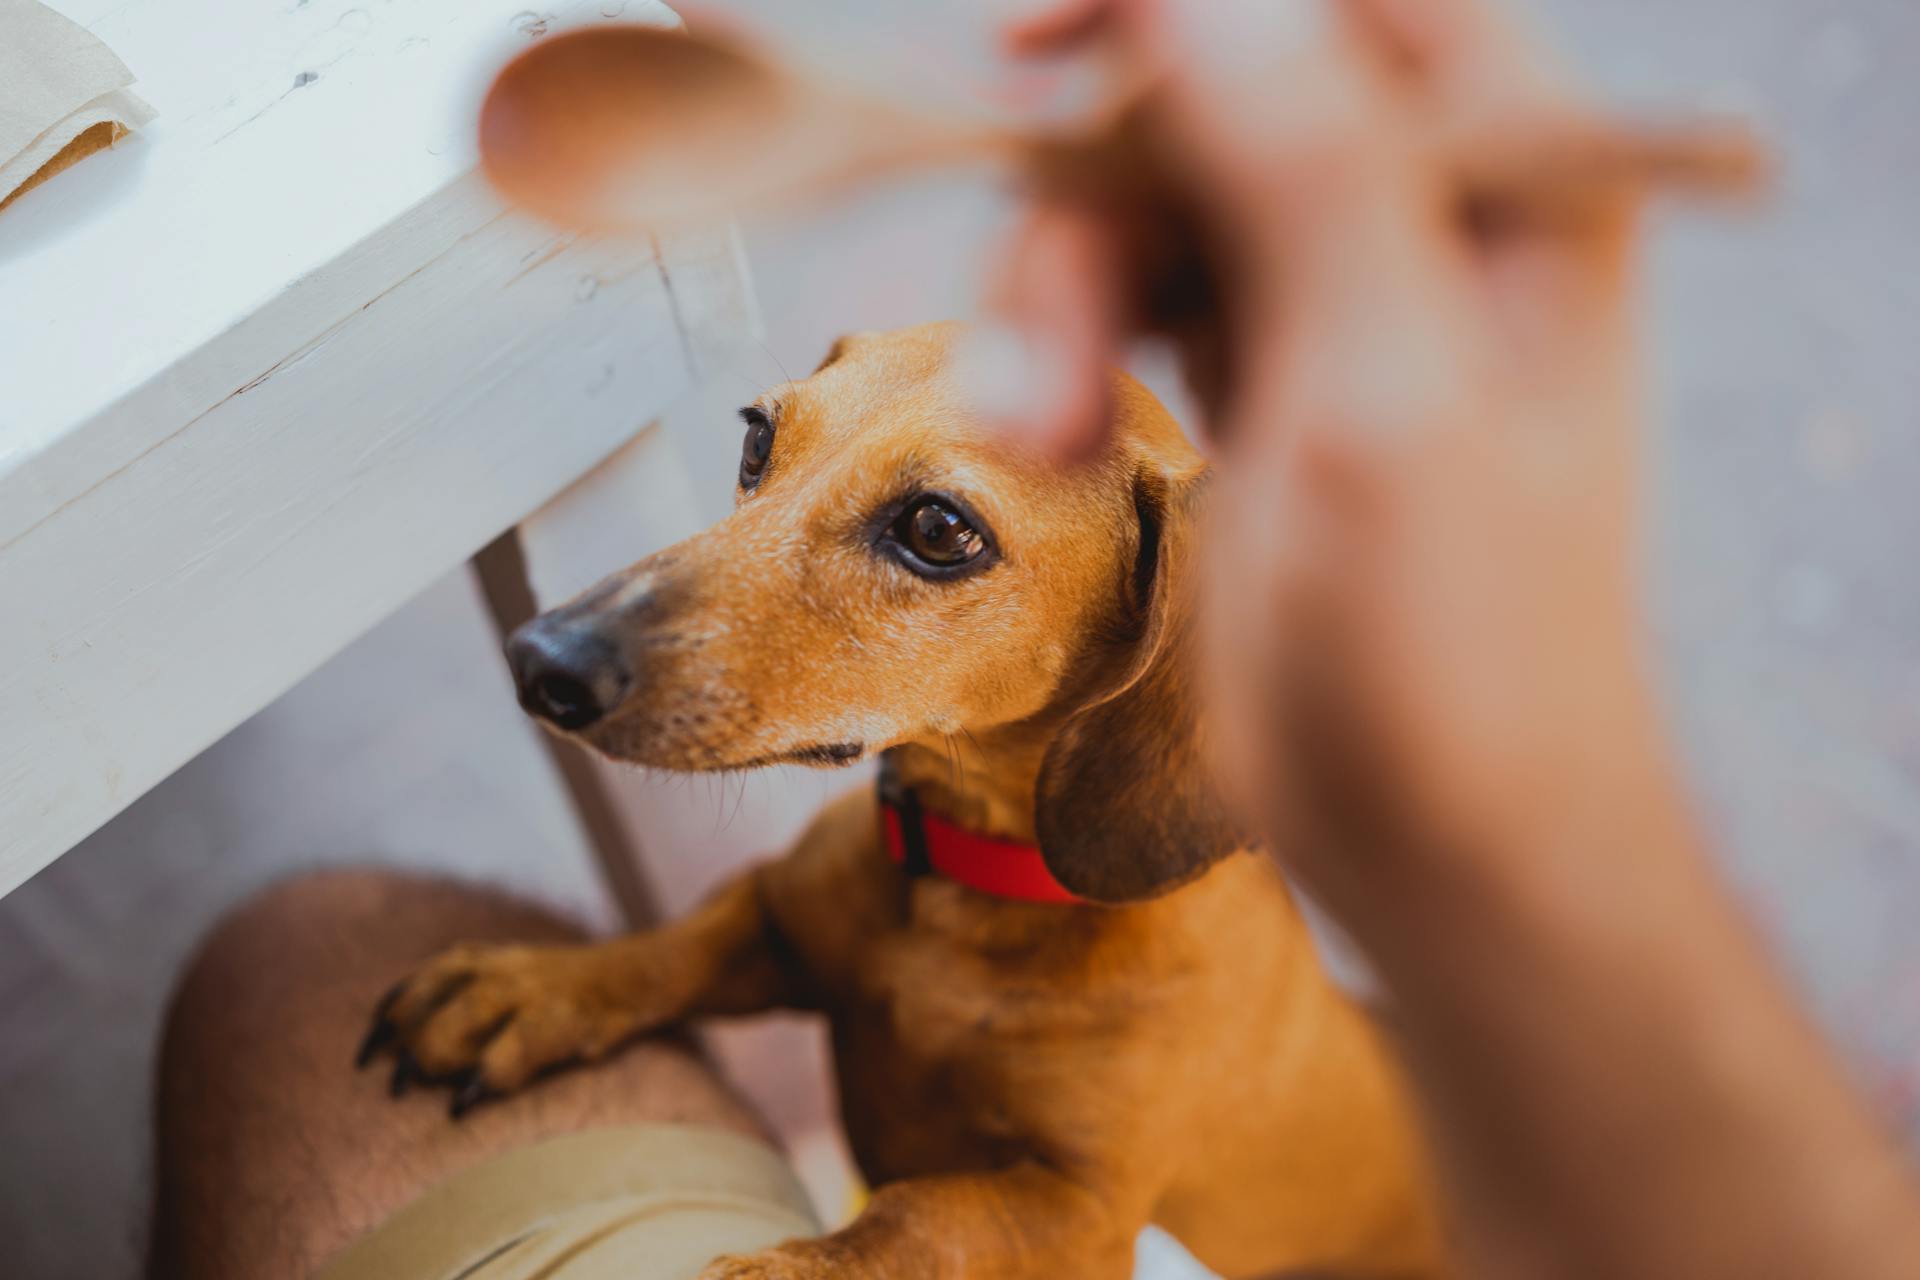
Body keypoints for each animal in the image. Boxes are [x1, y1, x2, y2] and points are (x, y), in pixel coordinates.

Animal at [357, 326, 1443, 1274]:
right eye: (757, 436)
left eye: (937, 528)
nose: (542, 659)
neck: (964, 889)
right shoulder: (775, 919)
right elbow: (673, 950)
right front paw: (525, 989)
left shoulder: (1082, 1211)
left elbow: (914, 1221)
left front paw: (773, 1271)